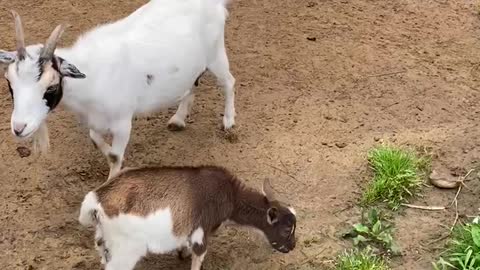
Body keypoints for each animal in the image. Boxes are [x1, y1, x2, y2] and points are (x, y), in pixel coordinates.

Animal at [0, 0, 236, 179]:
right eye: (10, 82)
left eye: (50, 87)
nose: (19, 128)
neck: (93, 76)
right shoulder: (94, 120)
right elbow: (97, 141)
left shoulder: (123, 122)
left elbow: (115, 156)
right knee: (192, 84)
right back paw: (178, 119)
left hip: (216, 55)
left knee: (229, 82)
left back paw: (228, 122)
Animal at [79, 166, 296, 268]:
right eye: (287, 229)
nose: (292, 247)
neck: (230, 195)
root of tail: (98, 198)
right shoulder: (202, 232)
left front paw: (182, 253)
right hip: (127, 247)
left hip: (104, 238)